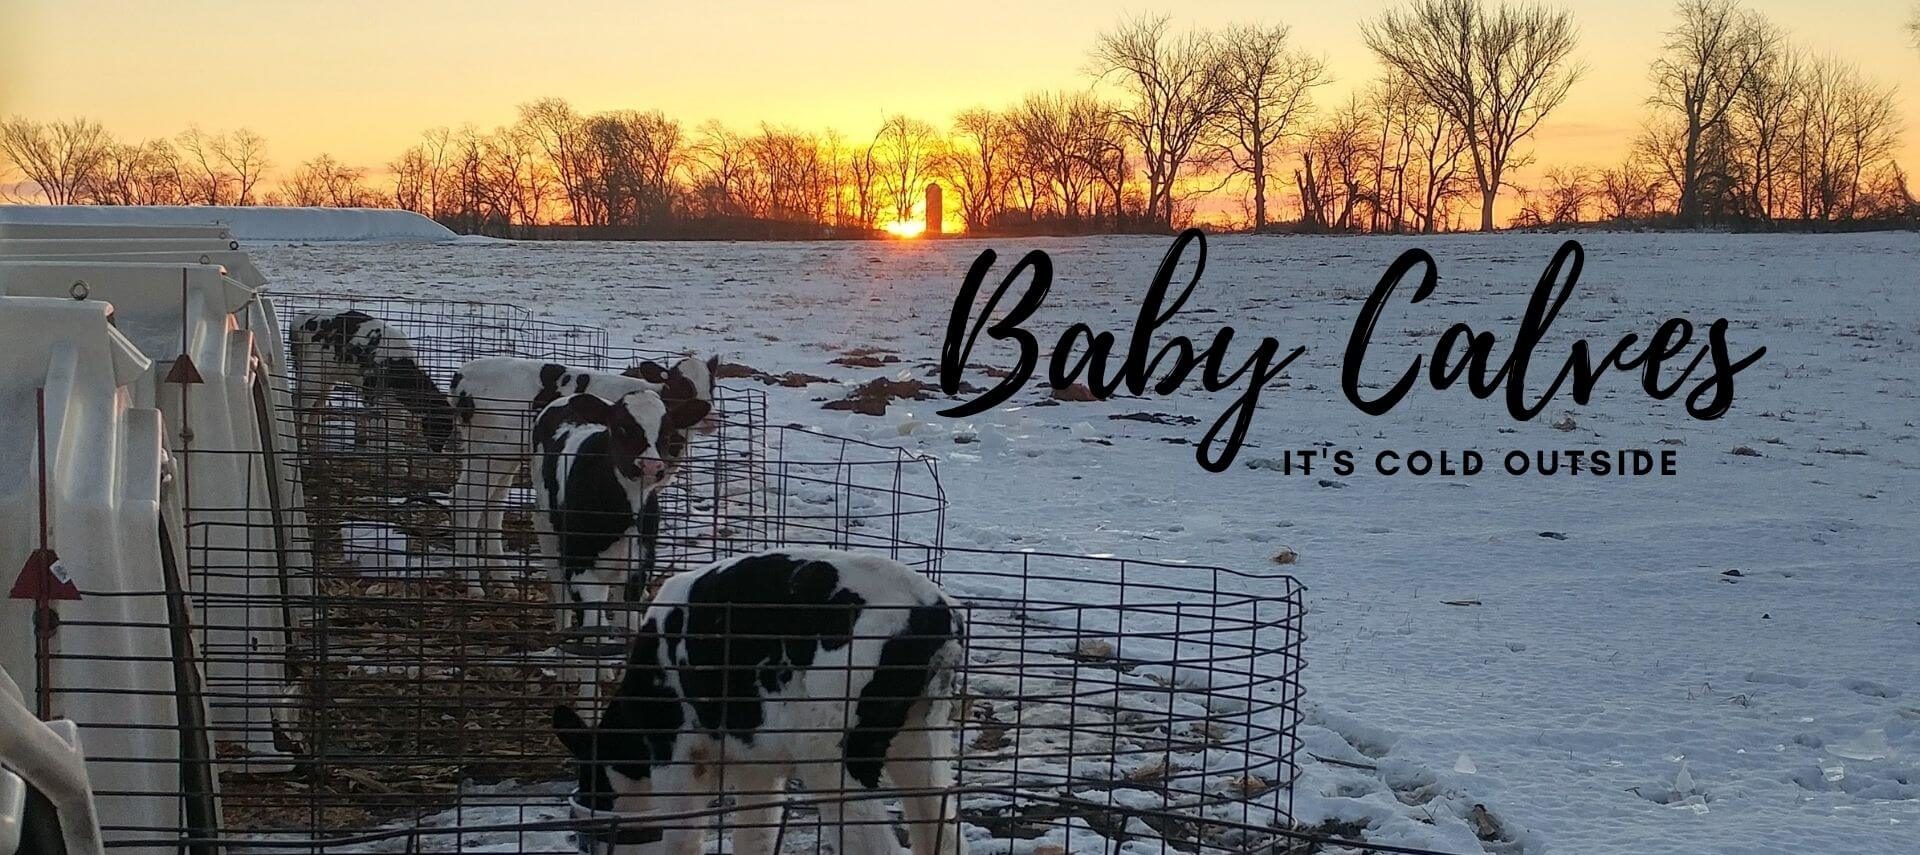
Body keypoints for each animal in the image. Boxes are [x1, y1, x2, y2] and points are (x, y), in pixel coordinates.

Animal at [533, 384, 714, 618]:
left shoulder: (640, 564)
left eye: (667, 433)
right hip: (545, 529)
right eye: (621, 429)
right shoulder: (578, 563)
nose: (650, 466)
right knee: (560, 595)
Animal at [552, 545, 967, 853]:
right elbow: (755, 836)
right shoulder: (757, 764)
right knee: (941, 828)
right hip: (923, 734)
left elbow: (683, 837)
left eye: (593, 783)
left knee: (873, 842)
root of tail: (928, 610)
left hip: (830, 748)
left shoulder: (677, 755)